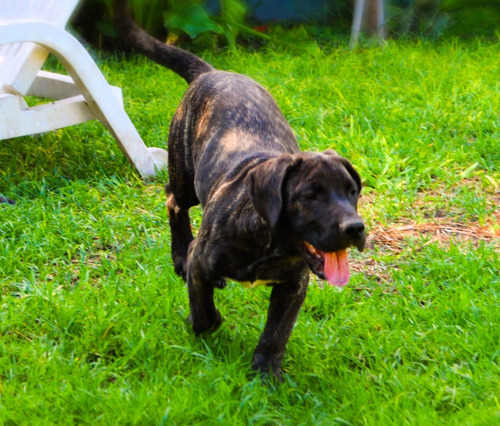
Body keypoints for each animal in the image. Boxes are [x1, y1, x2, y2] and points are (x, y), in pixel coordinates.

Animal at [114, 0, 368, 380]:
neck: (270, 242)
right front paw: (203, 322)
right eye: (310, 196)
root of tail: (210, 72)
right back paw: (178, 255)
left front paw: (266, 375)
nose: (355, 228)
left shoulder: (293, 286)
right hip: (185, 175)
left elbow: (276, 333)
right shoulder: (202, 259)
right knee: (173, 200)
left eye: (352, 192)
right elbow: (204, 310)